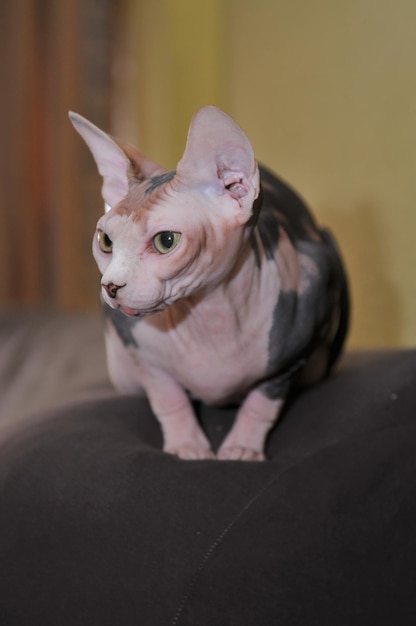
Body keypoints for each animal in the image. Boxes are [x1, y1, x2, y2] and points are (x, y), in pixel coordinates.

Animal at [70, 106, 350, 458]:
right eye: (105, 241)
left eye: (166, 241)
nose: (110, 287)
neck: (209, 313)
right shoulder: (138, 349)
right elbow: (166, 394)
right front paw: (186, 445)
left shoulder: (299, 345)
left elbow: (263, 401)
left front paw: (243, 447)